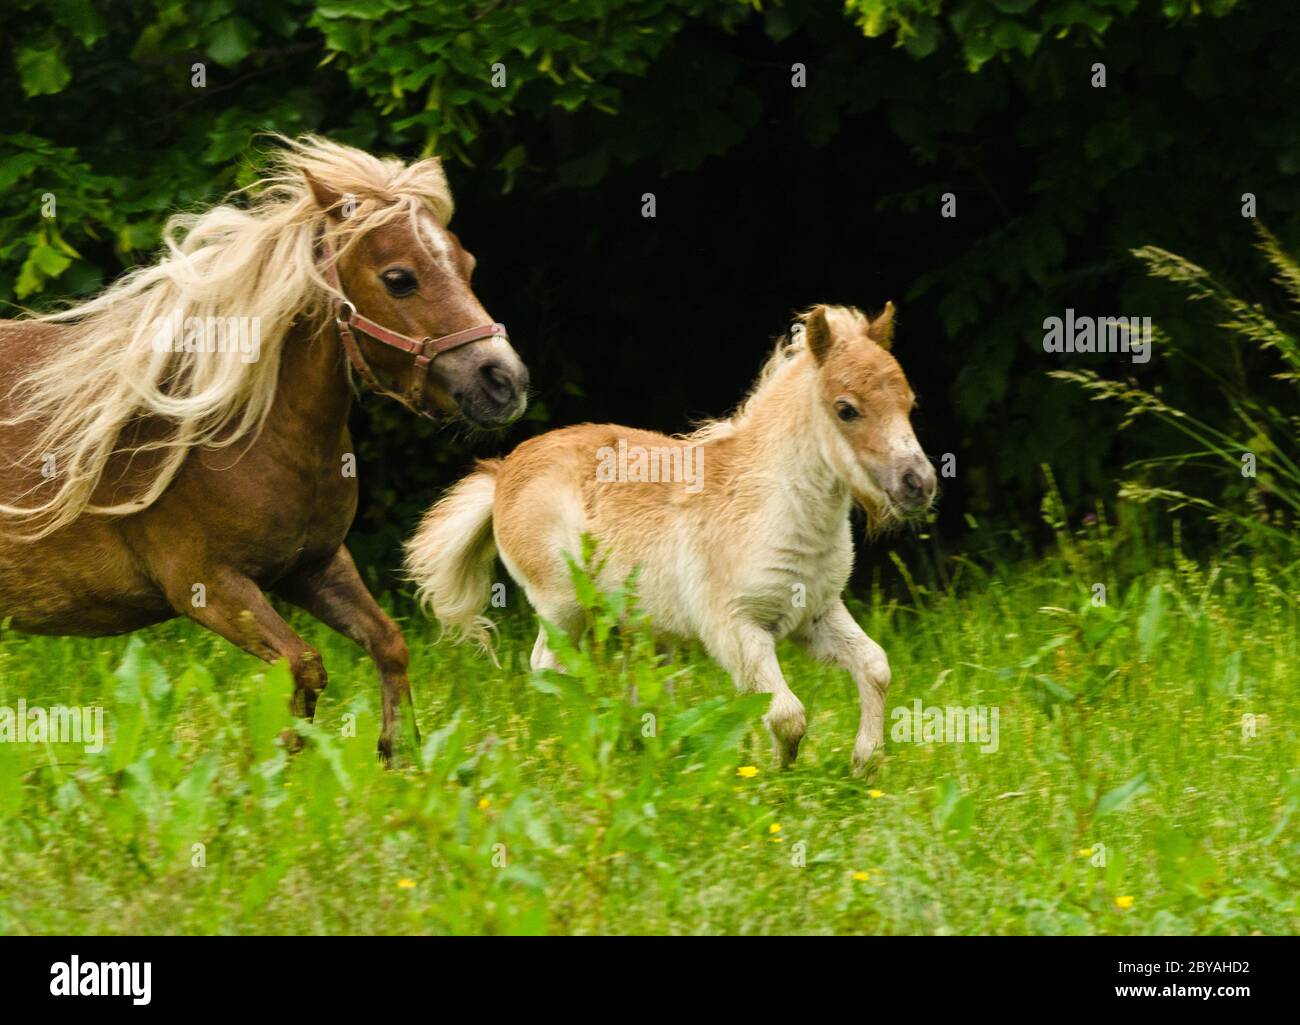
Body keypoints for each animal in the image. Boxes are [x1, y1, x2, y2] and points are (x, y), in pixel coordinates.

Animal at [0, 135, 529, 759]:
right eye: (400, 277)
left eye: (467, 265)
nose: (504, 382)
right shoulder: (209, 587)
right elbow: (304, 667)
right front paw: (276, 764)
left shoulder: (315, 565)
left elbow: (388, 643)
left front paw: (396, 755)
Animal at [405, 303, 935, 772]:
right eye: (846, 409)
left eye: (909, 403)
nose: (919, 483)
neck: (771, 507)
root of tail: (502, 472)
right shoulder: (736, 630)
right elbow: (787, 714)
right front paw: (779, 776)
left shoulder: (816, 616)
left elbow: (875, 667)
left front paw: (865, 763)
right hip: (563, 609)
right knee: (549, 668)